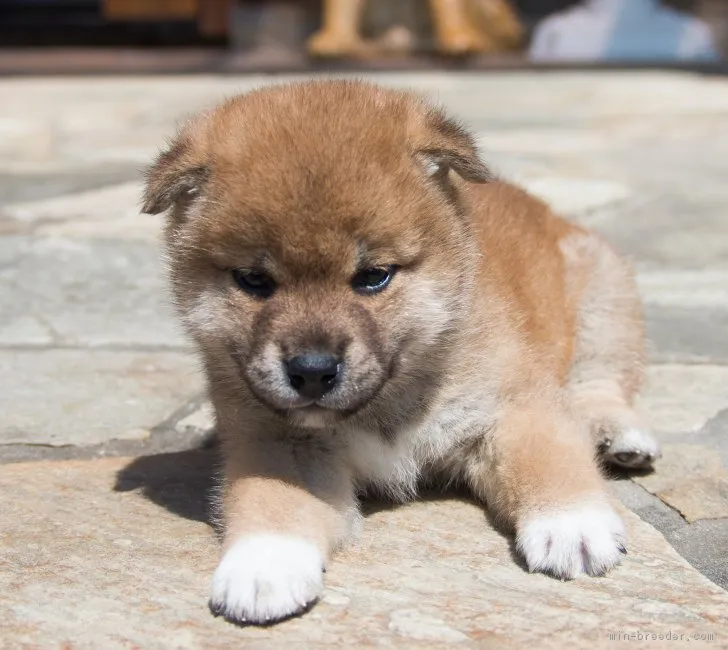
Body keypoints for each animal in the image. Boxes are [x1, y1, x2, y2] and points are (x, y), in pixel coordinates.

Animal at [142, 78, 660, 624]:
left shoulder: (512, 407)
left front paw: (572, 524)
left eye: (373, 276)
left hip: (604, 297)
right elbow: (273, 498)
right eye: (253, 281)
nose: (312, 371)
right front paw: (264, 564)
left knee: (600, 382)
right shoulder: (277, 440)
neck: (390, 401)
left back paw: (616, 434)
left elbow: (550, 459)